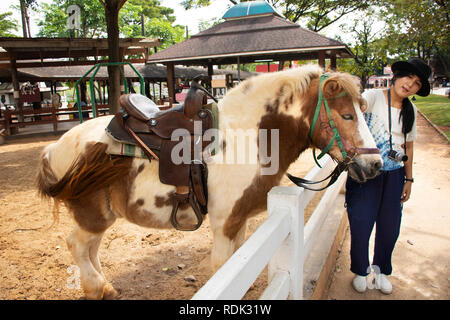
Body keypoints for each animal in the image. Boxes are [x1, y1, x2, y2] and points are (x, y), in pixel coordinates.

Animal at [37, 65, 380, 300]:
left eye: (361, 112)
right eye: (347, 115)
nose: (376, 164)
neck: (247, 137)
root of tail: (54, 148)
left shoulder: (238, 222)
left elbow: (236, 266)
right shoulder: (223, 224)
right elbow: (223, 268)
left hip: (101, 216)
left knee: (90, 249)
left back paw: (103, 287)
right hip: (91, 215)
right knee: (77, 244)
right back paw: (96, 287)